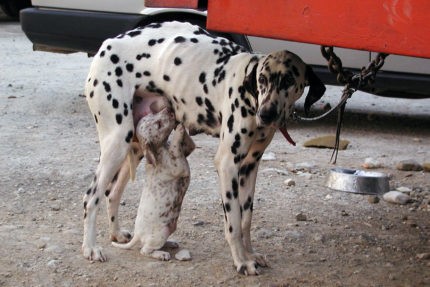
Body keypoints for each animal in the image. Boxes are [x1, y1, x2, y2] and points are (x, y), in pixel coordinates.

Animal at [111, 108, 194, 260]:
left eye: (153, 114)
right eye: (158, 125)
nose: (169, 109)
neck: (161, 149)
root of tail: (137, 235)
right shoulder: (178, 166)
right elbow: (175, 146)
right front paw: (179, 130)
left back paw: (170, 243)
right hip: (160, 233)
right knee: (145, 250)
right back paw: (162, 254)